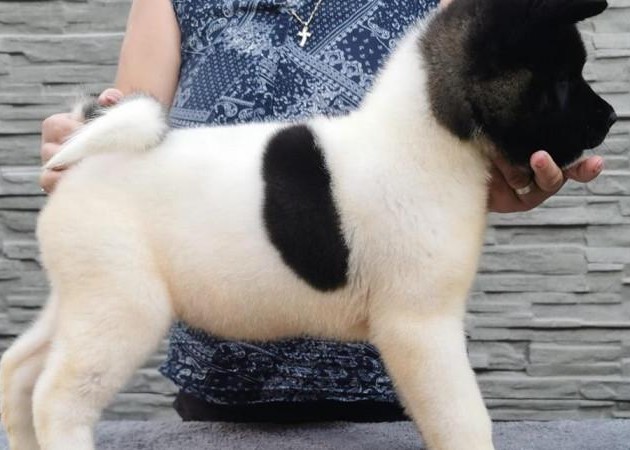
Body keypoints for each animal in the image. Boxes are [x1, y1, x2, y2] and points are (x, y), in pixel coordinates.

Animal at [0, 0, 616, 448]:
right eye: (564, 80)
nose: (611, 116)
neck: (427, 135)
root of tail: (87, 157)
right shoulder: (420, 326)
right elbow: (461, 417)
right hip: (121, 308)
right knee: (57, 397)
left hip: (83, 299)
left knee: (22, 371)